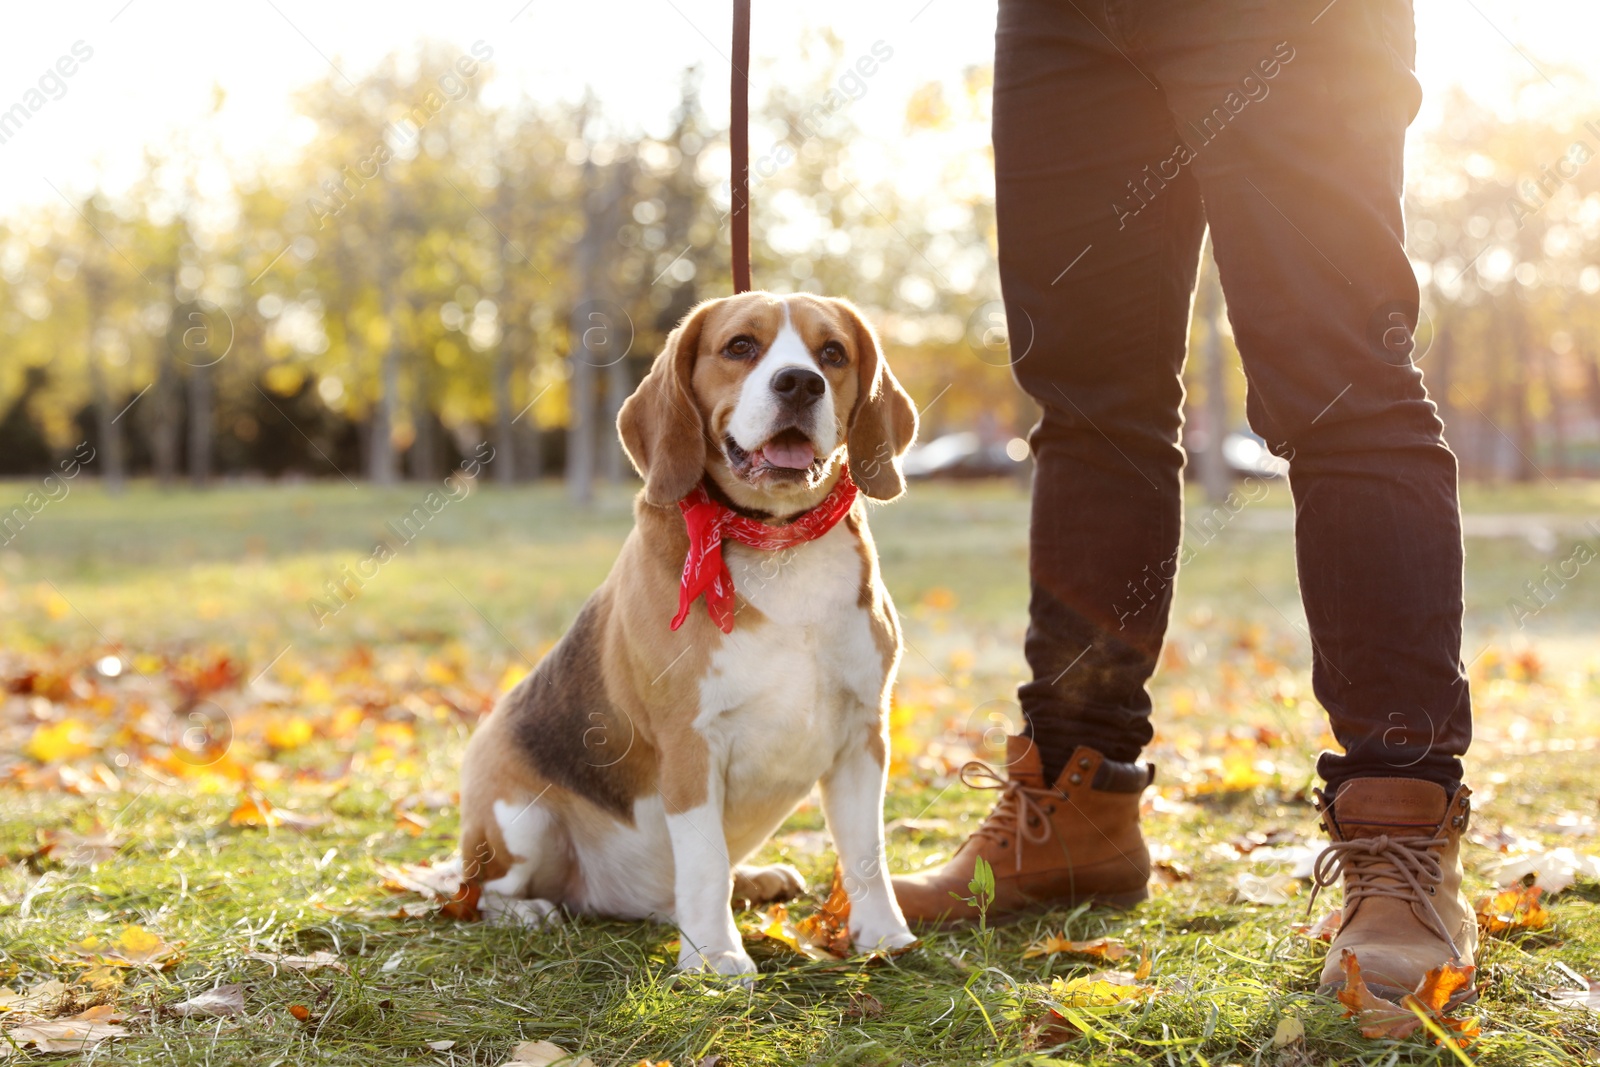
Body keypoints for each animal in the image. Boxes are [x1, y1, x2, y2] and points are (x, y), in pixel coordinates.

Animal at [457, 289, 921, 979]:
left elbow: (867, 852)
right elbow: (702, 865)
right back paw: (530, 911)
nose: (800, 382)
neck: (779, 545)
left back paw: (750, 880)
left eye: (833, 353)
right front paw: (715, 956)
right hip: (520, 819)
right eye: (740, 346)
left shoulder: (864, 732)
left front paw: (884, 934)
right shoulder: (690, 744)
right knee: (480, 895)